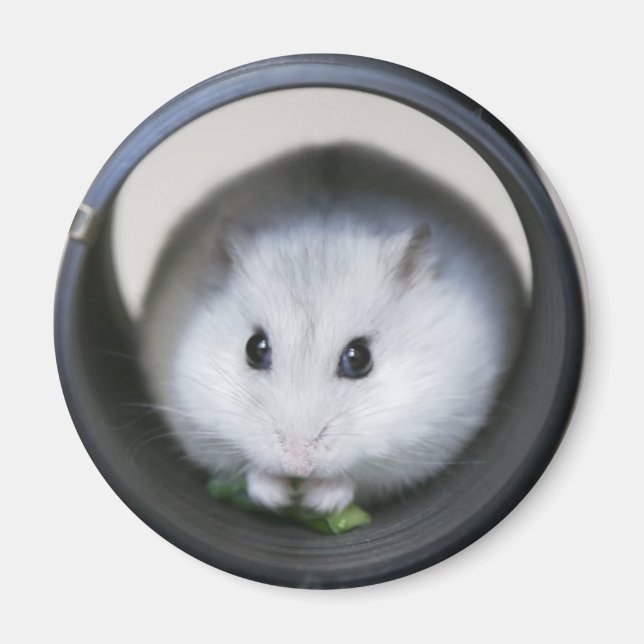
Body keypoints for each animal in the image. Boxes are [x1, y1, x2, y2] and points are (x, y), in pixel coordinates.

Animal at [138, 144, 525, 514]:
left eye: (359, 358)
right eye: (254, 348)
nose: (297, 465)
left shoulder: (427, 438)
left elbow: (357, 478)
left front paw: (318, 500)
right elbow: (249, 470)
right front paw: (278, 496)